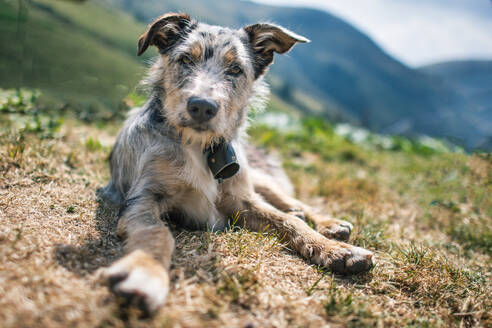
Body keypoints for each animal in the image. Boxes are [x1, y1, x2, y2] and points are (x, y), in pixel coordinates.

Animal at [102, 12, 374, 314]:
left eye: (235, 69)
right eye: (185, 59)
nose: (202, 106)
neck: (200, 147)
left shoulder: (241, 198)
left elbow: (287, 220)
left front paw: (335, 250)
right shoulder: (143, 198)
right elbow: (156, 232)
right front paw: (145, 271)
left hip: (257, 178)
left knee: (290, 203)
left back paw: (328, 223)